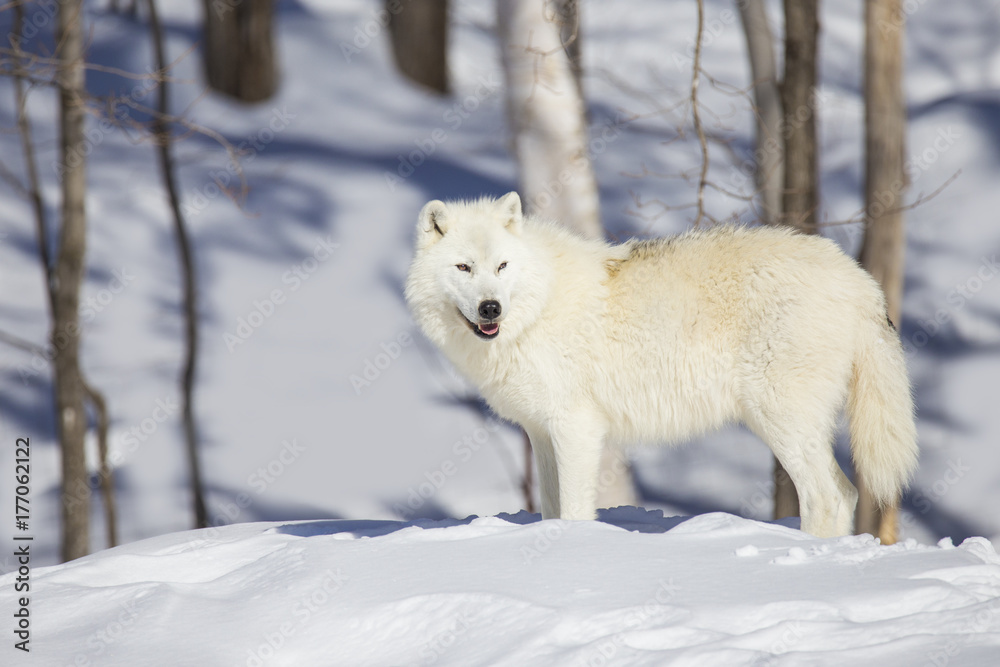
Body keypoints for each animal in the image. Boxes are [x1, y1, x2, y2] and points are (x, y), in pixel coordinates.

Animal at [404, 192, 917, 538]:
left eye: (502, 267)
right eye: (464, 268)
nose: (490, 308)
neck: (537, 309)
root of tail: (861, 281)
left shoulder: (576, 428)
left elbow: (574, 511)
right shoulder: (541, 432)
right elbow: (551, 509)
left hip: (780, 419)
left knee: (827, 497)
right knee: (846, 493)